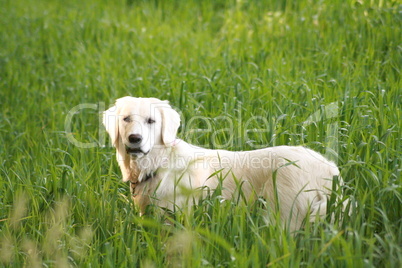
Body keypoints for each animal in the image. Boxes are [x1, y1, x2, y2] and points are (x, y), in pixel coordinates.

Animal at [103, 96, 342, 230]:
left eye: (151, 121)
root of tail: (327, 167)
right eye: (126, 119)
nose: (135, 139)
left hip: (284, 212)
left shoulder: (174, 216)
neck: (160, 163)